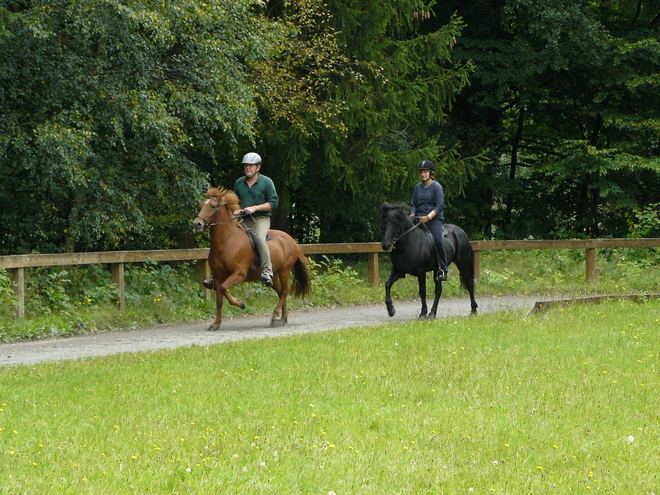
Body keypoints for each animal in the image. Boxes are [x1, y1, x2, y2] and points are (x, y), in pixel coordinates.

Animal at [193, 188, 312, 332]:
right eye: (201, 206)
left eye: (212, 206)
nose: (197, 224)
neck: (227, 241)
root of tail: (291, 240)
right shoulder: (218, 276)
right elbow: (219, 300)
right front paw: (216, 324)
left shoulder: (239, 274)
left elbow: (223, 288)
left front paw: (241, 304)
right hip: (274, 275)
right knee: (280, 292)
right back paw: (283, 318)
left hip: (285, 270)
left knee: (285, 291)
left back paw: (276, 315)